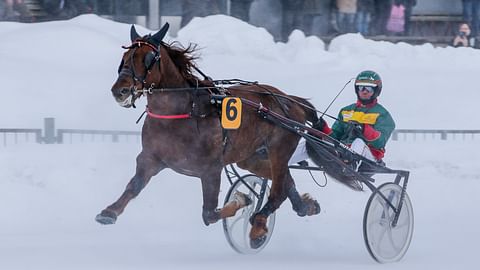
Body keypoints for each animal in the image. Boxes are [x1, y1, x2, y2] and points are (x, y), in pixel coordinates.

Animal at [95, 23, 320, 249]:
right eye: (125, 57)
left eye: (148, 58)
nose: (120, 91)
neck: (181, 112)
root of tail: (290, 100)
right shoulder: (151, 158)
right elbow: (134, 186)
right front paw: (109, 212)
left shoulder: (211, 168)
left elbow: (209, 214)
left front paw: (241, 200)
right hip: (251, 156)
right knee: (284, 179)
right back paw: (303, 207)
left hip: (279, 149)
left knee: (278, 189)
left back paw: (258, 227)